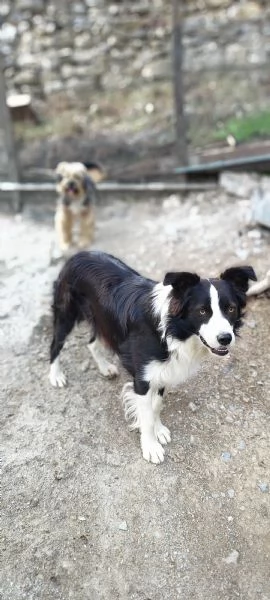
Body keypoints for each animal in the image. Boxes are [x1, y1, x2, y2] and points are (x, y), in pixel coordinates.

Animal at [49, 248, 256, 464]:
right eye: (202, 311)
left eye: (231, 308)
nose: (225, 338)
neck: (172, 330)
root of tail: (79, 253)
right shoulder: (142, 379)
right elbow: (146, 416)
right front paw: (150, 446)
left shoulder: (163, 370)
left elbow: (156, 406)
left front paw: (159, 430)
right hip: (66, 313)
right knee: (55, 345)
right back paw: (56, 376)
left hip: (101, 319)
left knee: (92, 343)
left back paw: (104, 367)